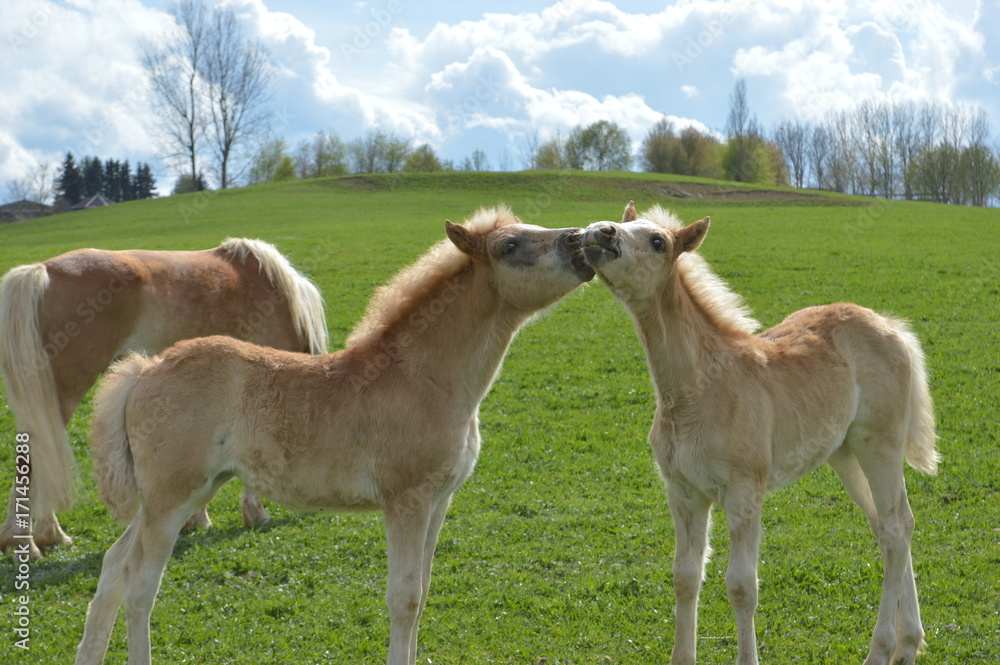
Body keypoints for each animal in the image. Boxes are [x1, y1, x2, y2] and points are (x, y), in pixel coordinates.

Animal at [74, 207, 595, 665]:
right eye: (510, 246)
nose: (582, 239)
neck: (424, 378)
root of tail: (146, 369)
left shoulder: (438, 500)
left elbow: (423, 593)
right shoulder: (406, 500)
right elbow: (403, 598)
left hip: (174, 496)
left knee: (113, 568)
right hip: (170, 500)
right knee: (141, 585)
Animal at [582, 202, 938, 665]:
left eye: (657, 241)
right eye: (621, 223)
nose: (599, 232)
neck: (698, 388)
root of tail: (893, 327)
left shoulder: (743, 493)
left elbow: (741, 586)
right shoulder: (683, 493)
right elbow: (685, 577)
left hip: (879, 444)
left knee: (895, 529)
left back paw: (881, 650)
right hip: (844, 453)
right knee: (892, 525)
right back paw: (908, 643)